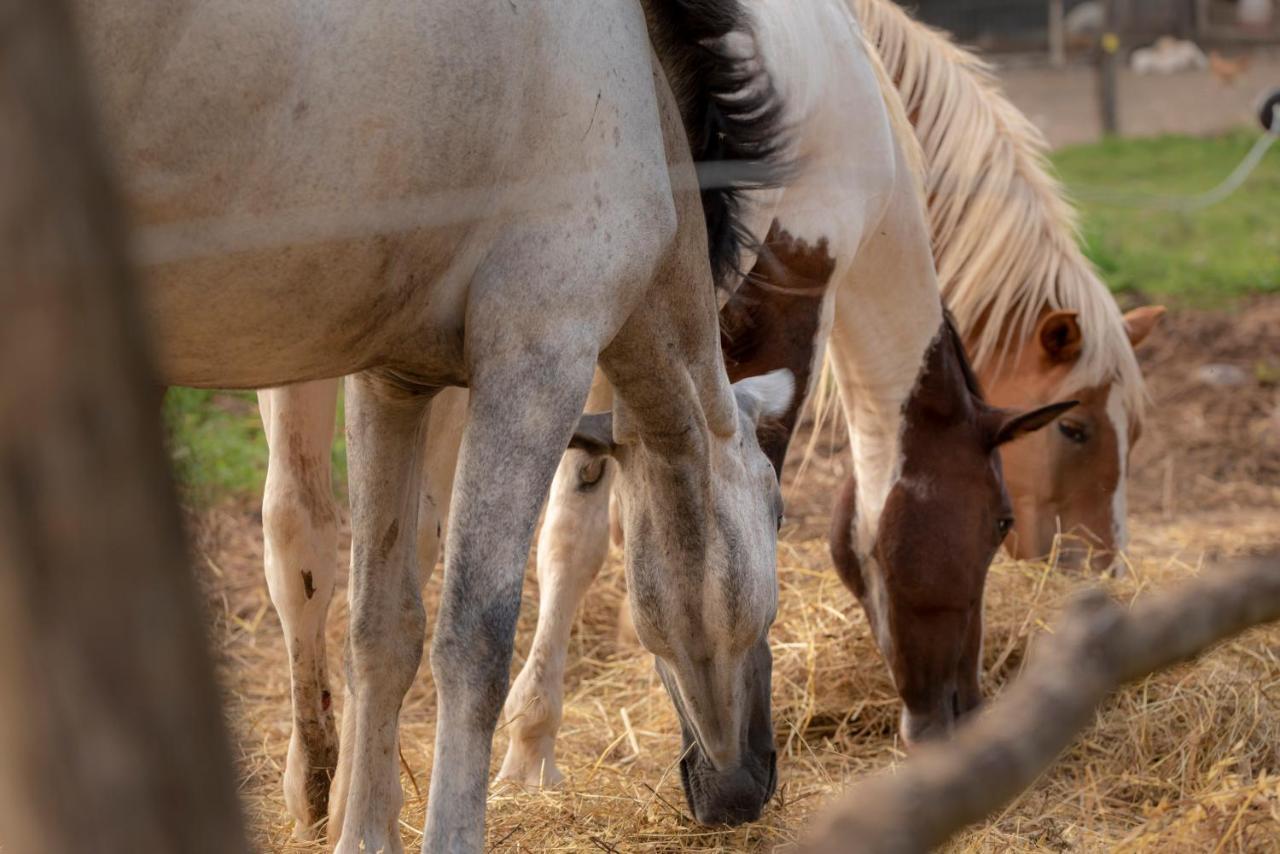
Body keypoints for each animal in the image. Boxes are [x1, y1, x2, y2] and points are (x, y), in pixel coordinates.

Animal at [77, 0, 788, 850]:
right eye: (779, 515)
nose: (749, 786)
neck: (636, 90)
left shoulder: (392, 381)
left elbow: (381, 628)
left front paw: (359, 831)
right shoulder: (538, 356)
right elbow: (473, 642)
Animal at [249, 0, 1070, 819]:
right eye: (998, 523)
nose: (960, 713)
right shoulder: (763, 304)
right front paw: (536, 752)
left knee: (309, 530)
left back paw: (325, 777)